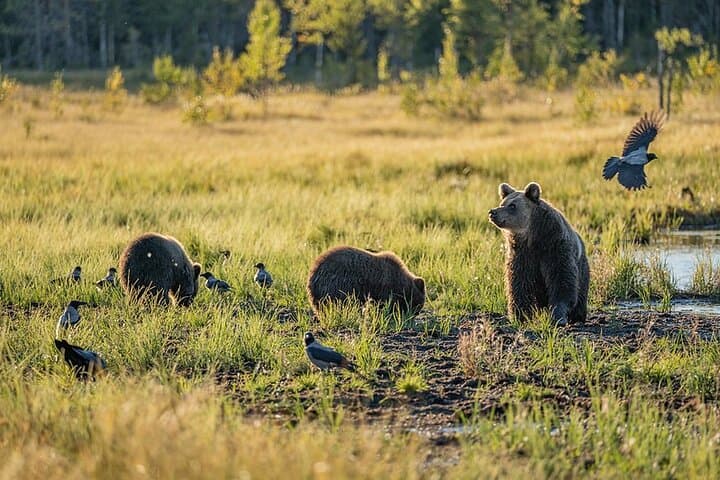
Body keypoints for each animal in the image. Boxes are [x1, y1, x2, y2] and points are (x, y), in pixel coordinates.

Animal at [488, 182, 589, 326]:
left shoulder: (555, 248)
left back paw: (578, 316)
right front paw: (520, 316)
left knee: (580, 291)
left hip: (582, 267)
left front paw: (558, 316)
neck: (533, 237)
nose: (493, 212)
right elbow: (519, 284)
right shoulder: (521, 255)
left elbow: (562, 280)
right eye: (502, 203)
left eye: (512, 205)